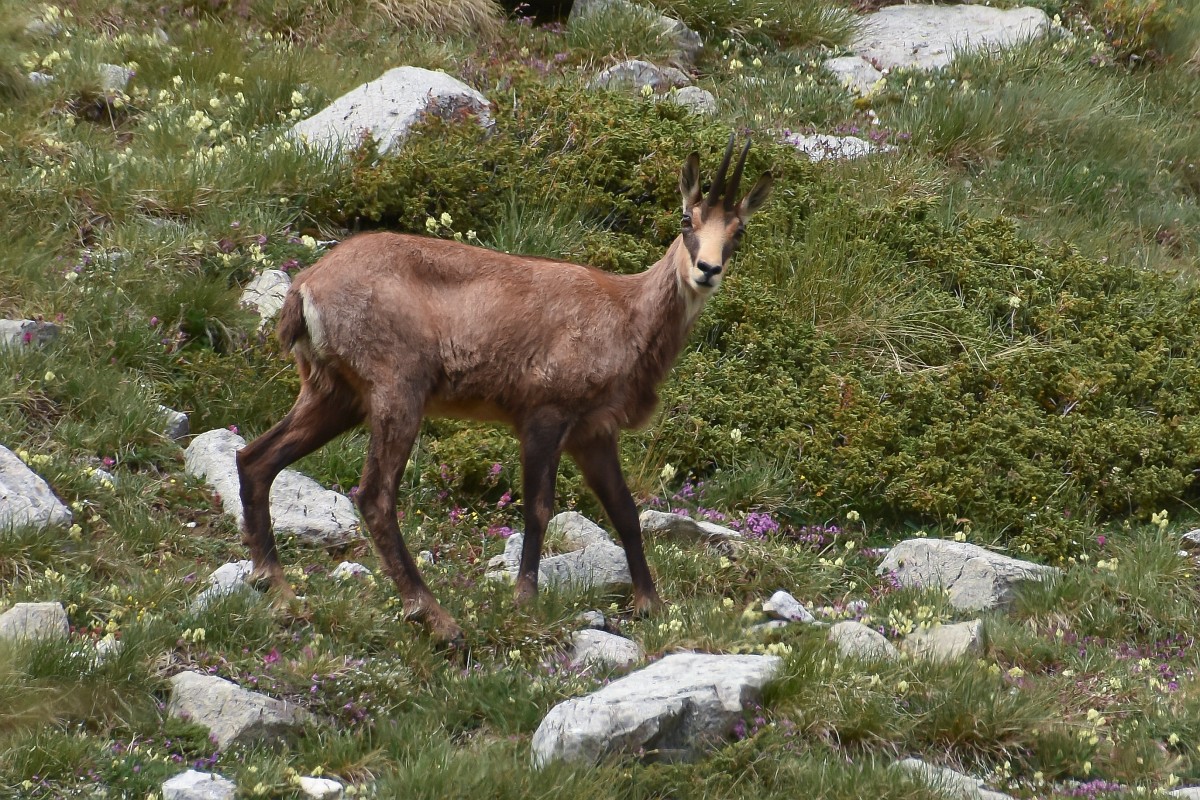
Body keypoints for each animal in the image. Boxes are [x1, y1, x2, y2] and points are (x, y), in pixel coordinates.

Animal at [235, 133, 773, 645]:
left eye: (739, 231)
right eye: (686, 219)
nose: (707, 270)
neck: (627, 314)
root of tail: (306, 286)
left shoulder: (593, 432)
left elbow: (624, 510)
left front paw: (652, 606)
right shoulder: (545, 413)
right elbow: (539, 508)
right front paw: (525, 600)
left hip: (334, 393)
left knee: (255, 459)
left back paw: (276, 587)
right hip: (397, 388)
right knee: (374, 495)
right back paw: (435, 618)